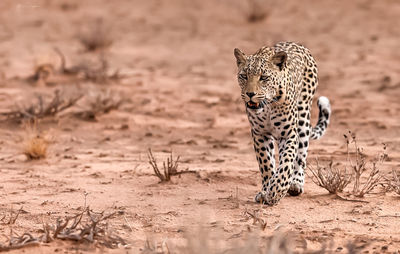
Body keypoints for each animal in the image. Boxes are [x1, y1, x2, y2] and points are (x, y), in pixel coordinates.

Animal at [233, 40, 330, 205]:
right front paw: (266, 191)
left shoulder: (288, 134)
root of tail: (297, 44)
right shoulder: (260, 134)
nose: (250, 94)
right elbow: (266, 163)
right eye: (244, 76)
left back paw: (296, 183)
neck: (267, 107)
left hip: (303, 117)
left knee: (301, 153)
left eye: (264, 77)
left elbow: (286, 163)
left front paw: (276, 191)